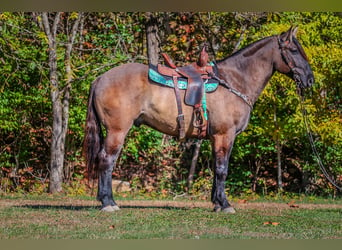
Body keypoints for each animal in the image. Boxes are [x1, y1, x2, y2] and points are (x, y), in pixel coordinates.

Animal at [84, 26, 314, 212]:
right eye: (294, 51)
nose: (310, 80)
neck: (234, 80)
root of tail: (100, 78)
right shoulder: (224, 135)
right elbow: (222, 169)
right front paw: (225, 205)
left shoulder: (216, 137)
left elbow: (217, 168)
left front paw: (217, 202)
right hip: (117, 131)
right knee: (106, 160)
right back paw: (108, 203)